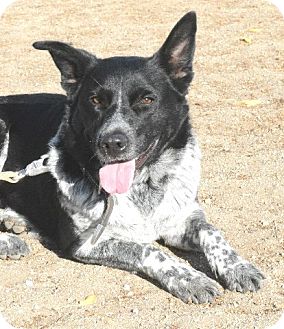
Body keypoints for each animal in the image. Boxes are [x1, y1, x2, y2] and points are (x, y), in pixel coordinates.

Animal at [0, 14, 264, 304]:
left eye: (147, 99)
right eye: (95, 100)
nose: (111, 143)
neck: (143, 185)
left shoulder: (180, 218)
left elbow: (212, 231)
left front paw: (237, 266)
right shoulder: (86, 242)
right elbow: (149, 249)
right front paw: (189, 278)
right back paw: (8, 241)